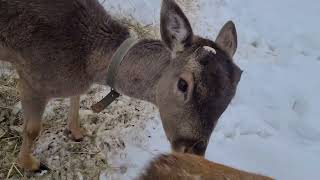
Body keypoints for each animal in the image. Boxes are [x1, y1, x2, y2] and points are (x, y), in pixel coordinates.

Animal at [0, 0, 241, 172]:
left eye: (234, 89)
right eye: (183, 84)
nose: (191, 151)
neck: (87, 63)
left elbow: (76, 98)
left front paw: (78, 132)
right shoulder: (32, 78)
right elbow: (32, 129)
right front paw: (32, 165)